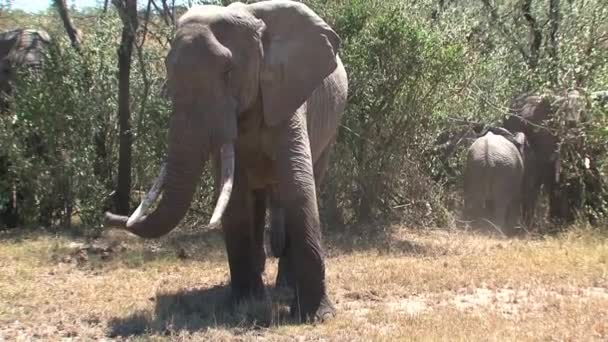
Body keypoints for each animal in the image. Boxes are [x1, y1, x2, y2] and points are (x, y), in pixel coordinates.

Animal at [104, 0, 346, 322]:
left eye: (229, 71)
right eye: (168, 72)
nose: (108, 215)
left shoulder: (286, 93)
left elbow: (298, 185)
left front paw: (316, 316)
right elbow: (235, 197)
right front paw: (245, 305)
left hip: (331, 128)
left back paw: (283, 287)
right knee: (256, 199)